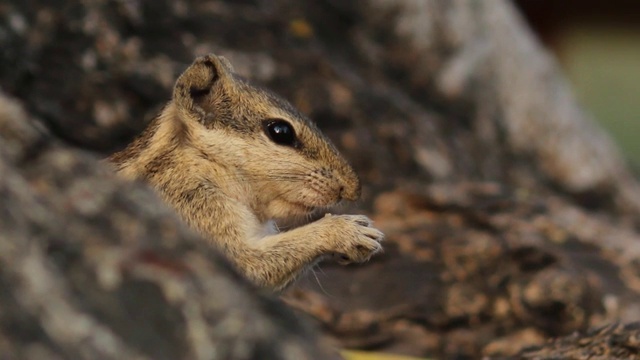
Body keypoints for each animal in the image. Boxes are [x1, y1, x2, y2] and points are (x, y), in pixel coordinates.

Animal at [109, 54, 384, 292]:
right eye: (280, 131)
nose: (352, 189)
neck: (203, 164)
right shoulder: (194, 210)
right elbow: (249, 265)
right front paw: (349, 230)